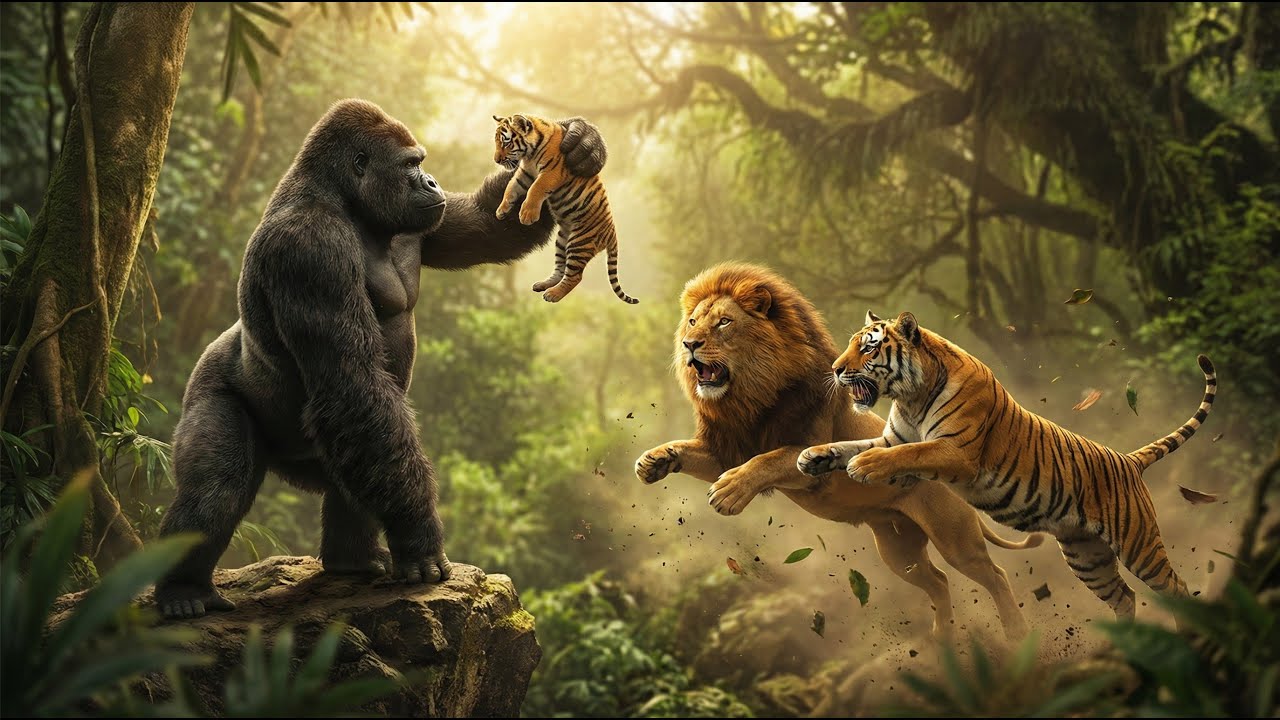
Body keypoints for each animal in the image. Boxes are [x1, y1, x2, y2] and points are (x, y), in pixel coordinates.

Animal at [155, 99, 607, 619]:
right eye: (411, 164)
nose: (430, 181)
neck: (348, 202)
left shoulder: (422, 222)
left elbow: (489, 223)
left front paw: (579, 143)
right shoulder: (310, 247)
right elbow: (353, 382)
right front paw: (420, 537)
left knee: (363, 460)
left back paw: (350, 561)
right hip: (209, 382)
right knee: (218, 488)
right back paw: (183, 591)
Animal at [492, 113, 637, 304]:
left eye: (506, 143)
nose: (496, 160)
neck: (529, 155)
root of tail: (612, 234)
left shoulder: (550, 173)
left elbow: (535, 189)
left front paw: (527, 215)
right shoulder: (525, 173)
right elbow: (511, 188)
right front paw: (501, 210)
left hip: (579, 243)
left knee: (575, 276)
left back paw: (553, 294)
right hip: (563, 240)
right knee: (561, 269)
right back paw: (543, 285)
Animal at [635, 262, 1044, 640]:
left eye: (723, 323)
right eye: (692, 322)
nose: (689, 344)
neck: (750, 399)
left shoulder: (804, 458)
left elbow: (769, 459)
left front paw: (729, 491)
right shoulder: (730, 447)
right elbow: (692, 450)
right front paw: (653, 461)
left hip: (955, 538)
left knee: (994, 574)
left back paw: (1016, 633)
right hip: (898, 548)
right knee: (939, 581)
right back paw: (942, 638)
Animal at [797, 310, 1216, 622]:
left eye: (868, 349)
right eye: (850, 344)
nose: (835, 369)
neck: (912, 396)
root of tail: (1128, 460)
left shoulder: (955, 452)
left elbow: (906, 454)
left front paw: (864, 465)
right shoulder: (894, 438)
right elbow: (849, 445)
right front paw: (812, 456)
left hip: (1137, 542)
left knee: (1177, 589)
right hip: (1087, 556)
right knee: (1125, 597)